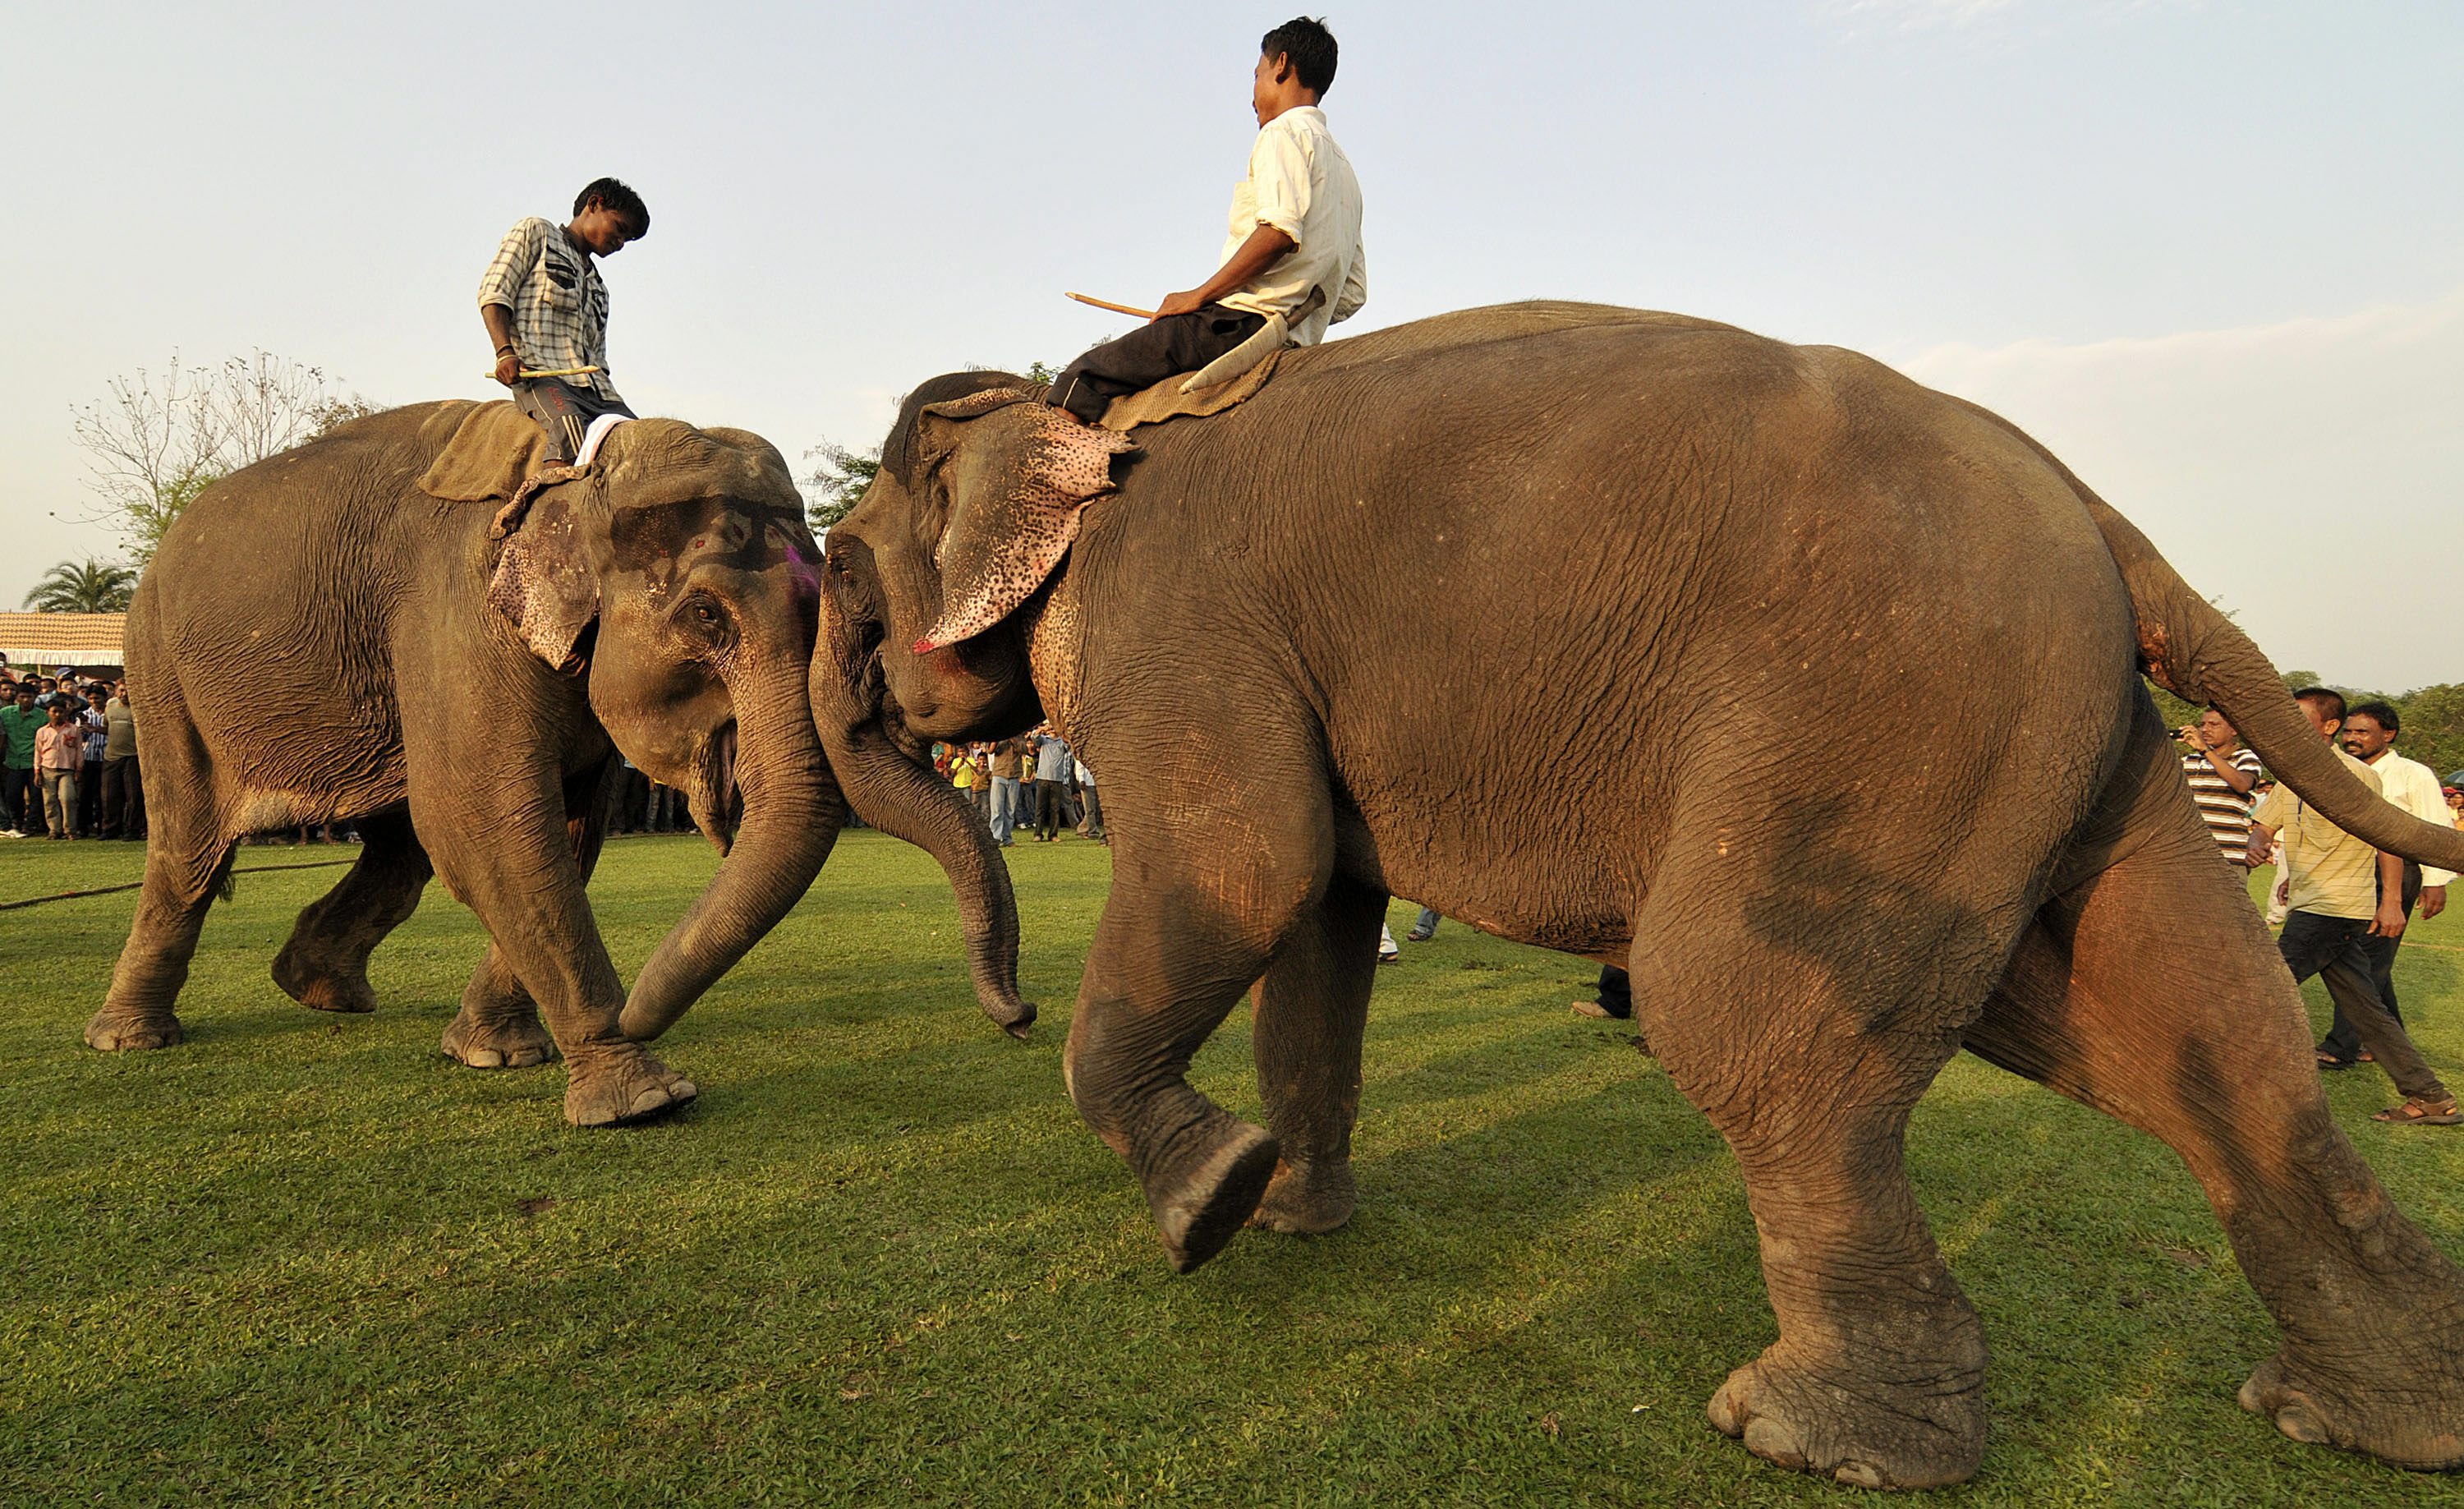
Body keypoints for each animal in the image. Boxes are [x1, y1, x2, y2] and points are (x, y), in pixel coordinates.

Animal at [91, 394, 1025, 1124]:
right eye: (707, 618)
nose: (1020, 1021)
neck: (583, 477)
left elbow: (566, 827)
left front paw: (499, 1054)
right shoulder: (455, 612)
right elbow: (485, 820)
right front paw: (643, 1098)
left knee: (399, 849)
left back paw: (318, 987)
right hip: (160, 673)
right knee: (191, 849)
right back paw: (132, 1037)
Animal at [818, 303, 2464, 1488]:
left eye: (836, 576)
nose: (1009, 1009)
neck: (1067, 415)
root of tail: (2102, 517)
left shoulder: (1179, 617)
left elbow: (1247, 864)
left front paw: (1204, 1211)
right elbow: (1320, 919)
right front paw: (1287, 1216)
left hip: (1882, 705)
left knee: (1738, 1005)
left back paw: (1818, 1442)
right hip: (2053, 732)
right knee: (2187, 1032)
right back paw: (2368, 1419)